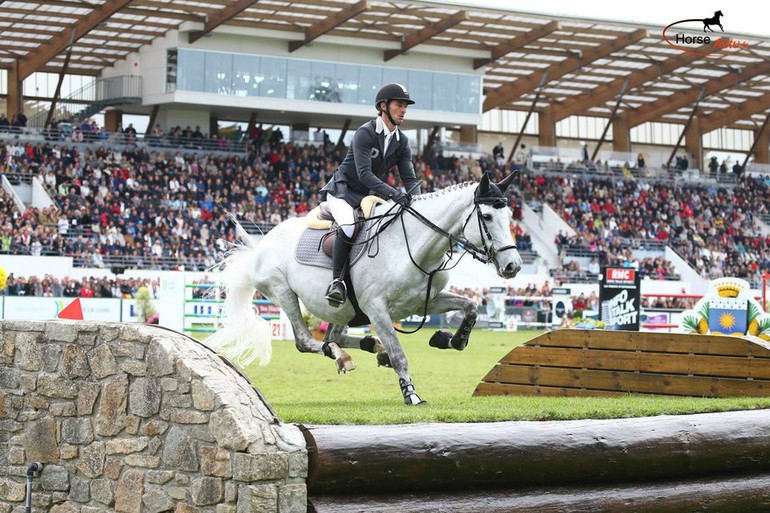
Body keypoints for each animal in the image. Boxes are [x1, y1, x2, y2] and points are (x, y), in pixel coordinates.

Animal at [204, 172, 520, 404]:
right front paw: (411, 394)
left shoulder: (425, 301)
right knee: (306, 341)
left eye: (510, 218)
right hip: (284, 292)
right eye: (487, 218)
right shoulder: (376, 308)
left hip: (342, 309)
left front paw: (450, 339)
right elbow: (399, 353)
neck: (415, 246)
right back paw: (343, 355)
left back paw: (368, 347)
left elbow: (471, 307)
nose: (513, 266)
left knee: (334, 336)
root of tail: (261, 245)